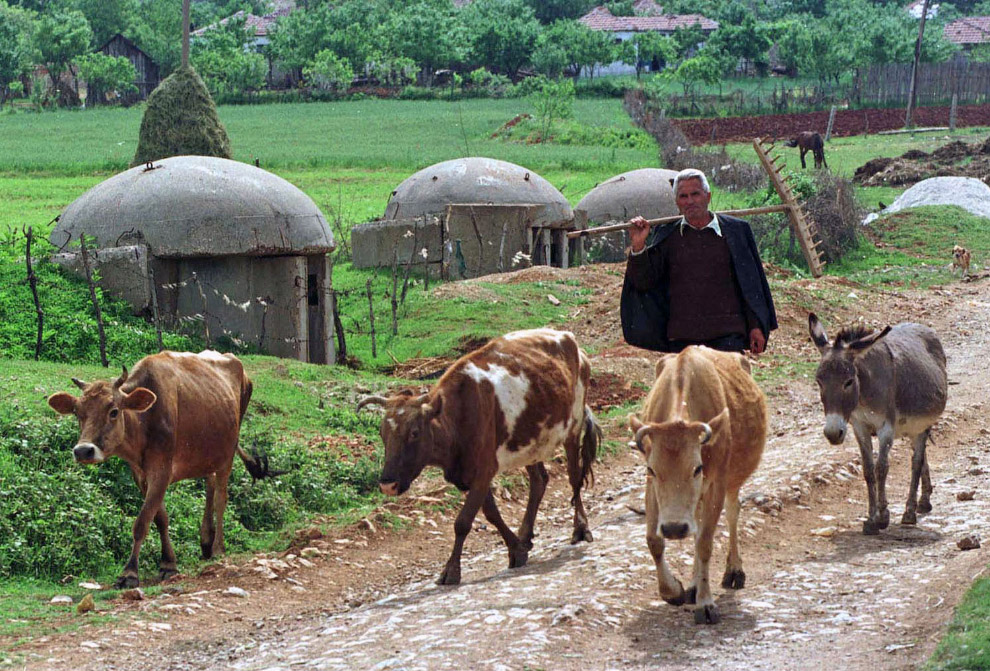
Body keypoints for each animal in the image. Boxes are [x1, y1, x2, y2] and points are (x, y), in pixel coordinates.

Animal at [45, 352, 274, 588]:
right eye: (77, 413)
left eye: (114, 411)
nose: (83, 451)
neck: (144, 421)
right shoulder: (140, 475)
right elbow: (160, 518)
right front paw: (168, 563)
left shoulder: (162, 470)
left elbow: (142, 521)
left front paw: (129, 572)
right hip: (208, 454)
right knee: (210, 484)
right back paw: (206, 541)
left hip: (227, 453)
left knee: (221, 498)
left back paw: (218, 548)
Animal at [358, 328, 600, 584]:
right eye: (382, 433)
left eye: (414, 432)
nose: (388, 485)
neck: (457, 416)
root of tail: (569, 339)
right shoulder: (469, 474)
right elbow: (491, 513)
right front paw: (517, 549)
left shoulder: (483, 470)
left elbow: (463, 521)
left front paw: (451, 570)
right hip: (531, 444)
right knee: (539, 481)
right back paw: (526, 535)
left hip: (572, 428)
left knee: (574, 477)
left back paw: (581, 529)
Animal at [628, 346, 768, 624]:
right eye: (651, 469)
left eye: (697, 468)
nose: (674, 528)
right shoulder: (652, 489)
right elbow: (654, 540)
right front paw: (674, 591)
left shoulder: (716, 484)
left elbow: (704, 542)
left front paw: (705, 604)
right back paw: (693, 586)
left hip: (731, 483)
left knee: (732, 514)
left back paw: (734, 571)